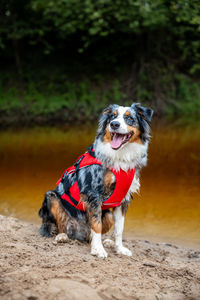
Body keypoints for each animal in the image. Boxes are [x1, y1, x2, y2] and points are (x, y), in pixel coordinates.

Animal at [38, 103, 153, 258]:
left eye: (129, 118)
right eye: (112, 117)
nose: (114, 124)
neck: (119, 155)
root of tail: (79, 232)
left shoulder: (123, 198)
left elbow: (119, 228)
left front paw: (119, 248)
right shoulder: (93, 193)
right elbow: (96, 225)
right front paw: (98, 250)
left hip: (108, 215)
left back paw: (105, 241)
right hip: (51, 197)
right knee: (58, 225)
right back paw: (62, 236)